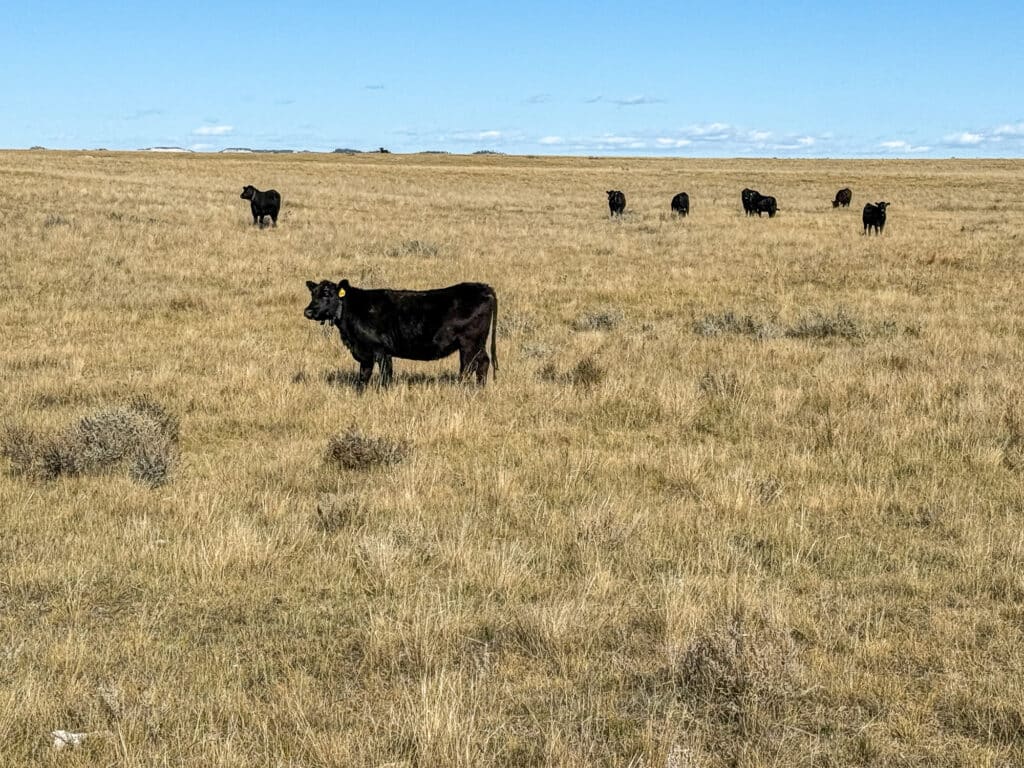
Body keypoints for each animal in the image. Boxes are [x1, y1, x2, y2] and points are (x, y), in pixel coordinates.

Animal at [304, 279, 498, 388]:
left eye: (327, 293)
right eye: (313, 293)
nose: (308, 311)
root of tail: (483, 287)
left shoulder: (380, 351)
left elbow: (384, 377)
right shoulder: (365, 353)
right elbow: (363, 377)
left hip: (469, 343)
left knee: (468, 367)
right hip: (478, 344)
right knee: (483, 363)